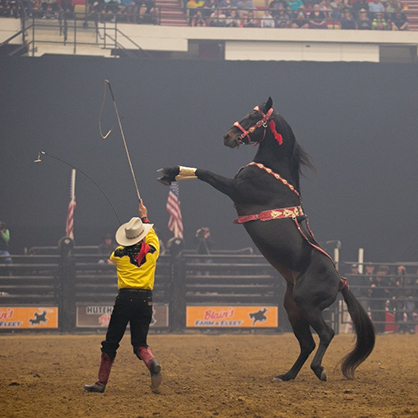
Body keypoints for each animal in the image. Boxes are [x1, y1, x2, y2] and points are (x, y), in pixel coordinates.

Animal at [158, 98, 376, 382]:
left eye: (253, 116)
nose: (228, 136)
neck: (273, 172)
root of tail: (340, 281)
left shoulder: (236, 189)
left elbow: (206, 173)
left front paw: (172, 171)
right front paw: (170, 173)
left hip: (308, 305)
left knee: (326, 334)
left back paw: (319, 370)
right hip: (293, 308)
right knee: (307, 343)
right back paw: (287, 375)